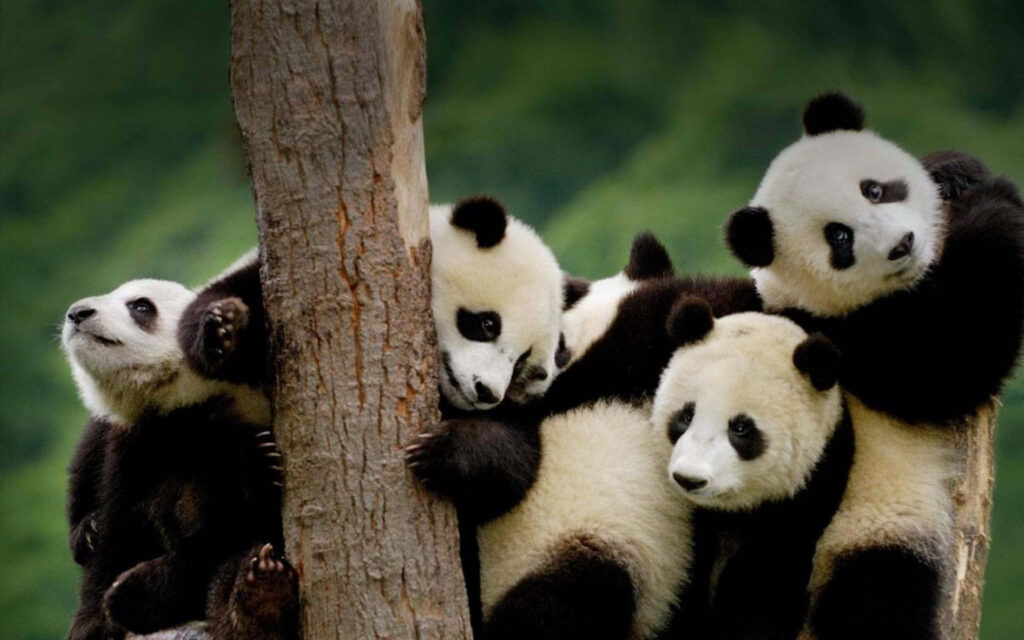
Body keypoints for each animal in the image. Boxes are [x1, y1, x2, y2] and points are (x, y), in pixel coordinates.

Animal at [62, 278, 297, 640]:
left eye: (141, 306)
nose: (78, 313)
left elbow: (224, 533)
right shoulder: (134, 445)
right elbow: (119, 532)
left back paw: (260, 596)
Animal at [652, 298, 852, 639]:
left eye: (741, 429)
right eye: (686, 416)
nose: (690, 479)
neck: (733, 511)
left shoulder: (809, 492)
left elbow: (763, 587)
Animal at [724, 92, 1024, 639]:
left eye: (875, 189)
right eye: (839, 238)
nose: (902, 244)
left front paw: (955, 171)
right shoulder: (844, 339)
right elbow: (951, 360)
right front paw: (995, 199)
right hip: (867, 529)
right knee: (874, 600)